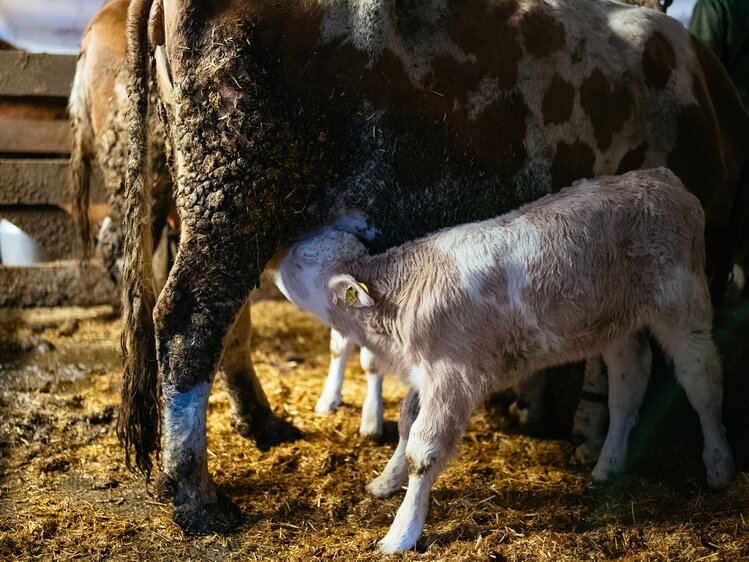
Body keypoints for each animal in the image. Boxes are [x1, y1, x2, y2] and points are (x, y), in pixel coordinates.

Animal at [272, 167, 732, 552]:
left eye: (302, 259)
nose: (274, 258)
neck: (402, 298)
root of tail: (659, 177)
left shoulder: (452, 375)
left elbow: (425, 449)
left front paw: (400, 533)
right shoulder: (424, 373)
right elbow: (406, 423)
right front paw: (386, 480)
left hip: (682, 300)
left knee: (702, 380)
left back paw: (719, 465)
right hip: (618, 321)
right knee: (627, 384)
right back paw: (608, 464)